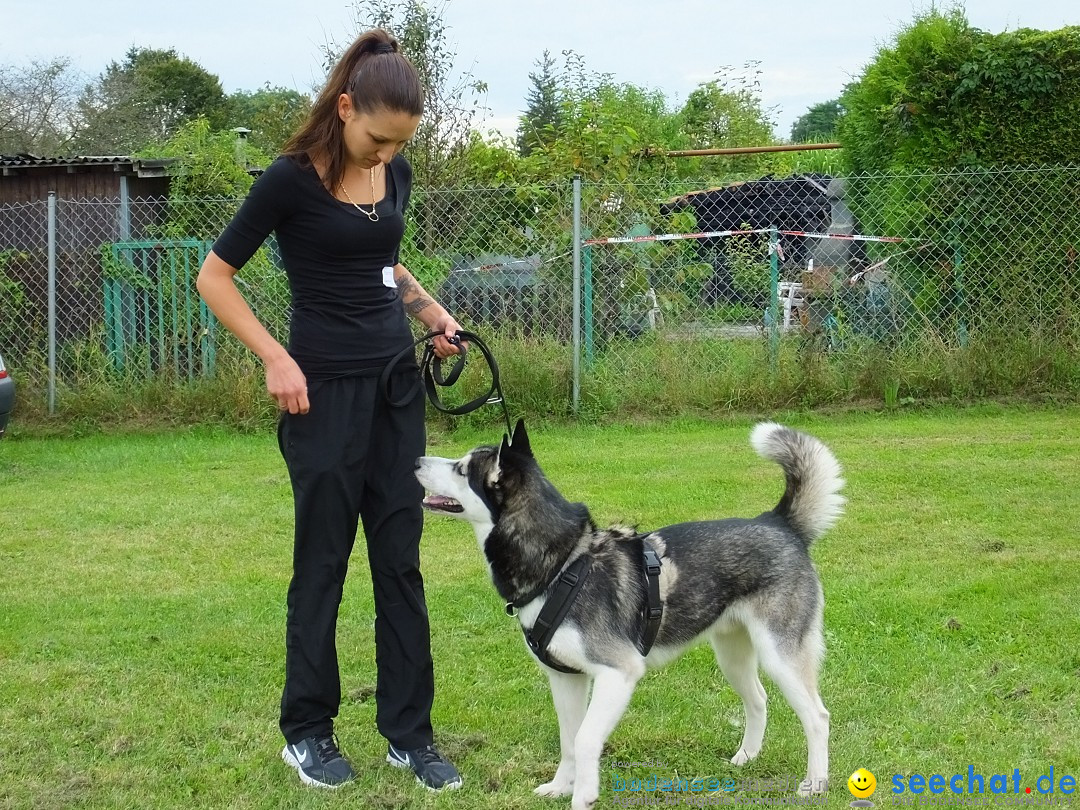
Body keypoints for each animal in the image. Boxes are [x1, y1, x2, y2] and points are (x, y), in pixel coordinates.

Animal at [412, 421, 842, 807]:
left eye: (461, 469)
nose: (416, 460)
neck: (562, 567)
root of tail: (778, 522)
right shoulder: (565, 678)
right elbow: (569, 740)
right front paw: (561, 787)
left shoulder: (618, 672)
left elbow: (585, 739)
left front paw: (583, 797)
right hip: (733, 657)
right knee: (758, 700)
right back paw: (746, 758)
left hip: (779, 656)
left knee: (817, 717)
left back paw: (814, 784)